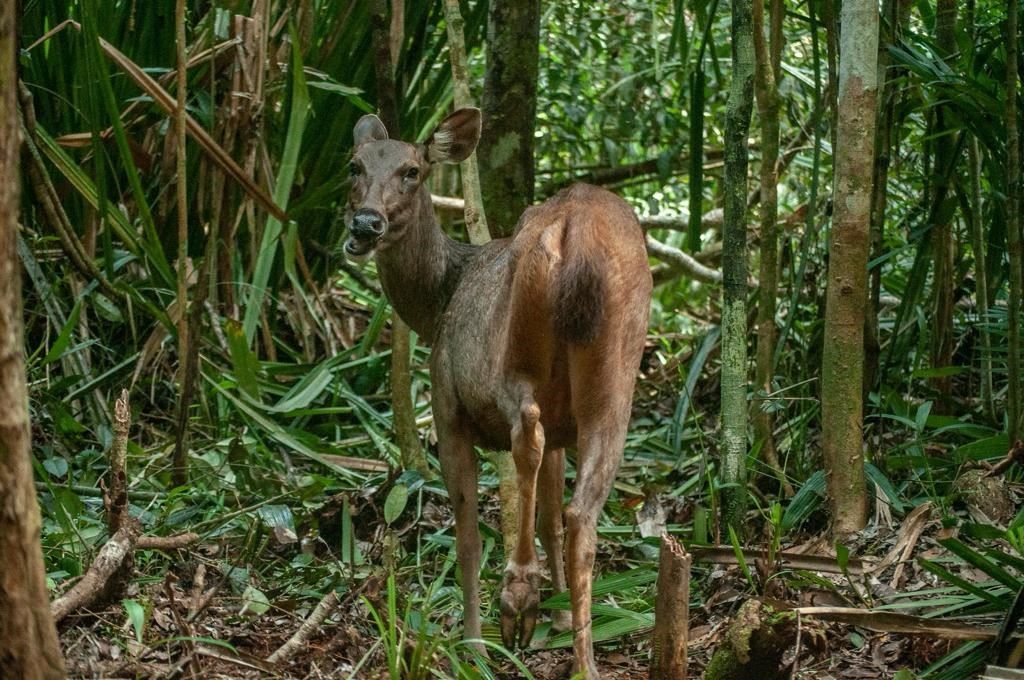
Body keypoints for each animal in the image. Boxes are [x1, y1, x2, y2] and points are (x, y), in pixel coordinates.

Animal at [342, 109, 647, 675]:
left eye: (412, 170)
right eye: (354, 164)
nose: (365, 224)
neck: (438, 303)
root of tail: (573, 235)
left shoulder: (447, 404)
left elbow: (465, 531)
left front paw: (473, 642)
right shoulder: (564, 424)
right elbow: (549, 517)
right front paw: (559, 619)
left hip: (508, 364)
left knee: (526, 434)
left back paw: (518, 597)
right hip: (615, 380)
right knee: (581, 512)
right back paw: (583, 660)